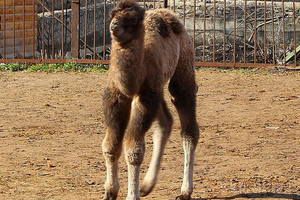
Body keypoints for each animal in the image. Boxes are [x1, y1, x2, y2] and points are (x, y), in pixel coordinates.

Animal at [102, 0, 199, 199]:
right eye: (113, 14)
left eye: (132, 21)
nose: (114, 26)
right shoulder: (116, 97)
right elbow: (111, 145)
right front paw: (110, 191)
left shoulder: (145, 97)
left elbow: (134, 149)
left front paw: (131, 195)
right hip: (158, 88)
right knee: (166, 122)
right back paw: (146, 185)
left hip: (183, 65)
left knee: (188, 125)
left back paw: (185, 191)